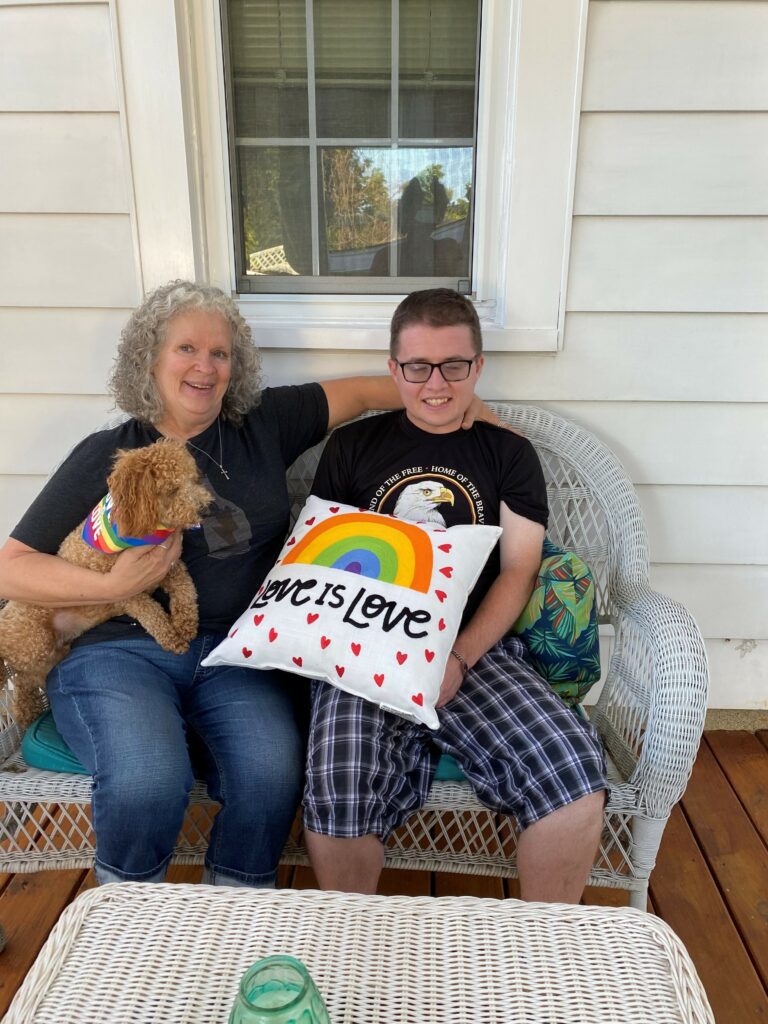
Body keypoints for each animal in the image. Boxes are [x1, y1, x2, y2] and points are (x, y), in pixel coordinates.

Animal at [0, 438, 210, 729]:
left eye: (193, 479)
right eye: (171, 490)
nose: (206, 509)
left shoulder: (170, 567)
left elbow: (186, 590)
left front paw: (185, 625)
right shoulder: (124, 589)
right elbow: (153, 612)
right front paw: (172, 638)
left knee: (27, 679)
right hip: (34, 641)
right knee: (20, 675)